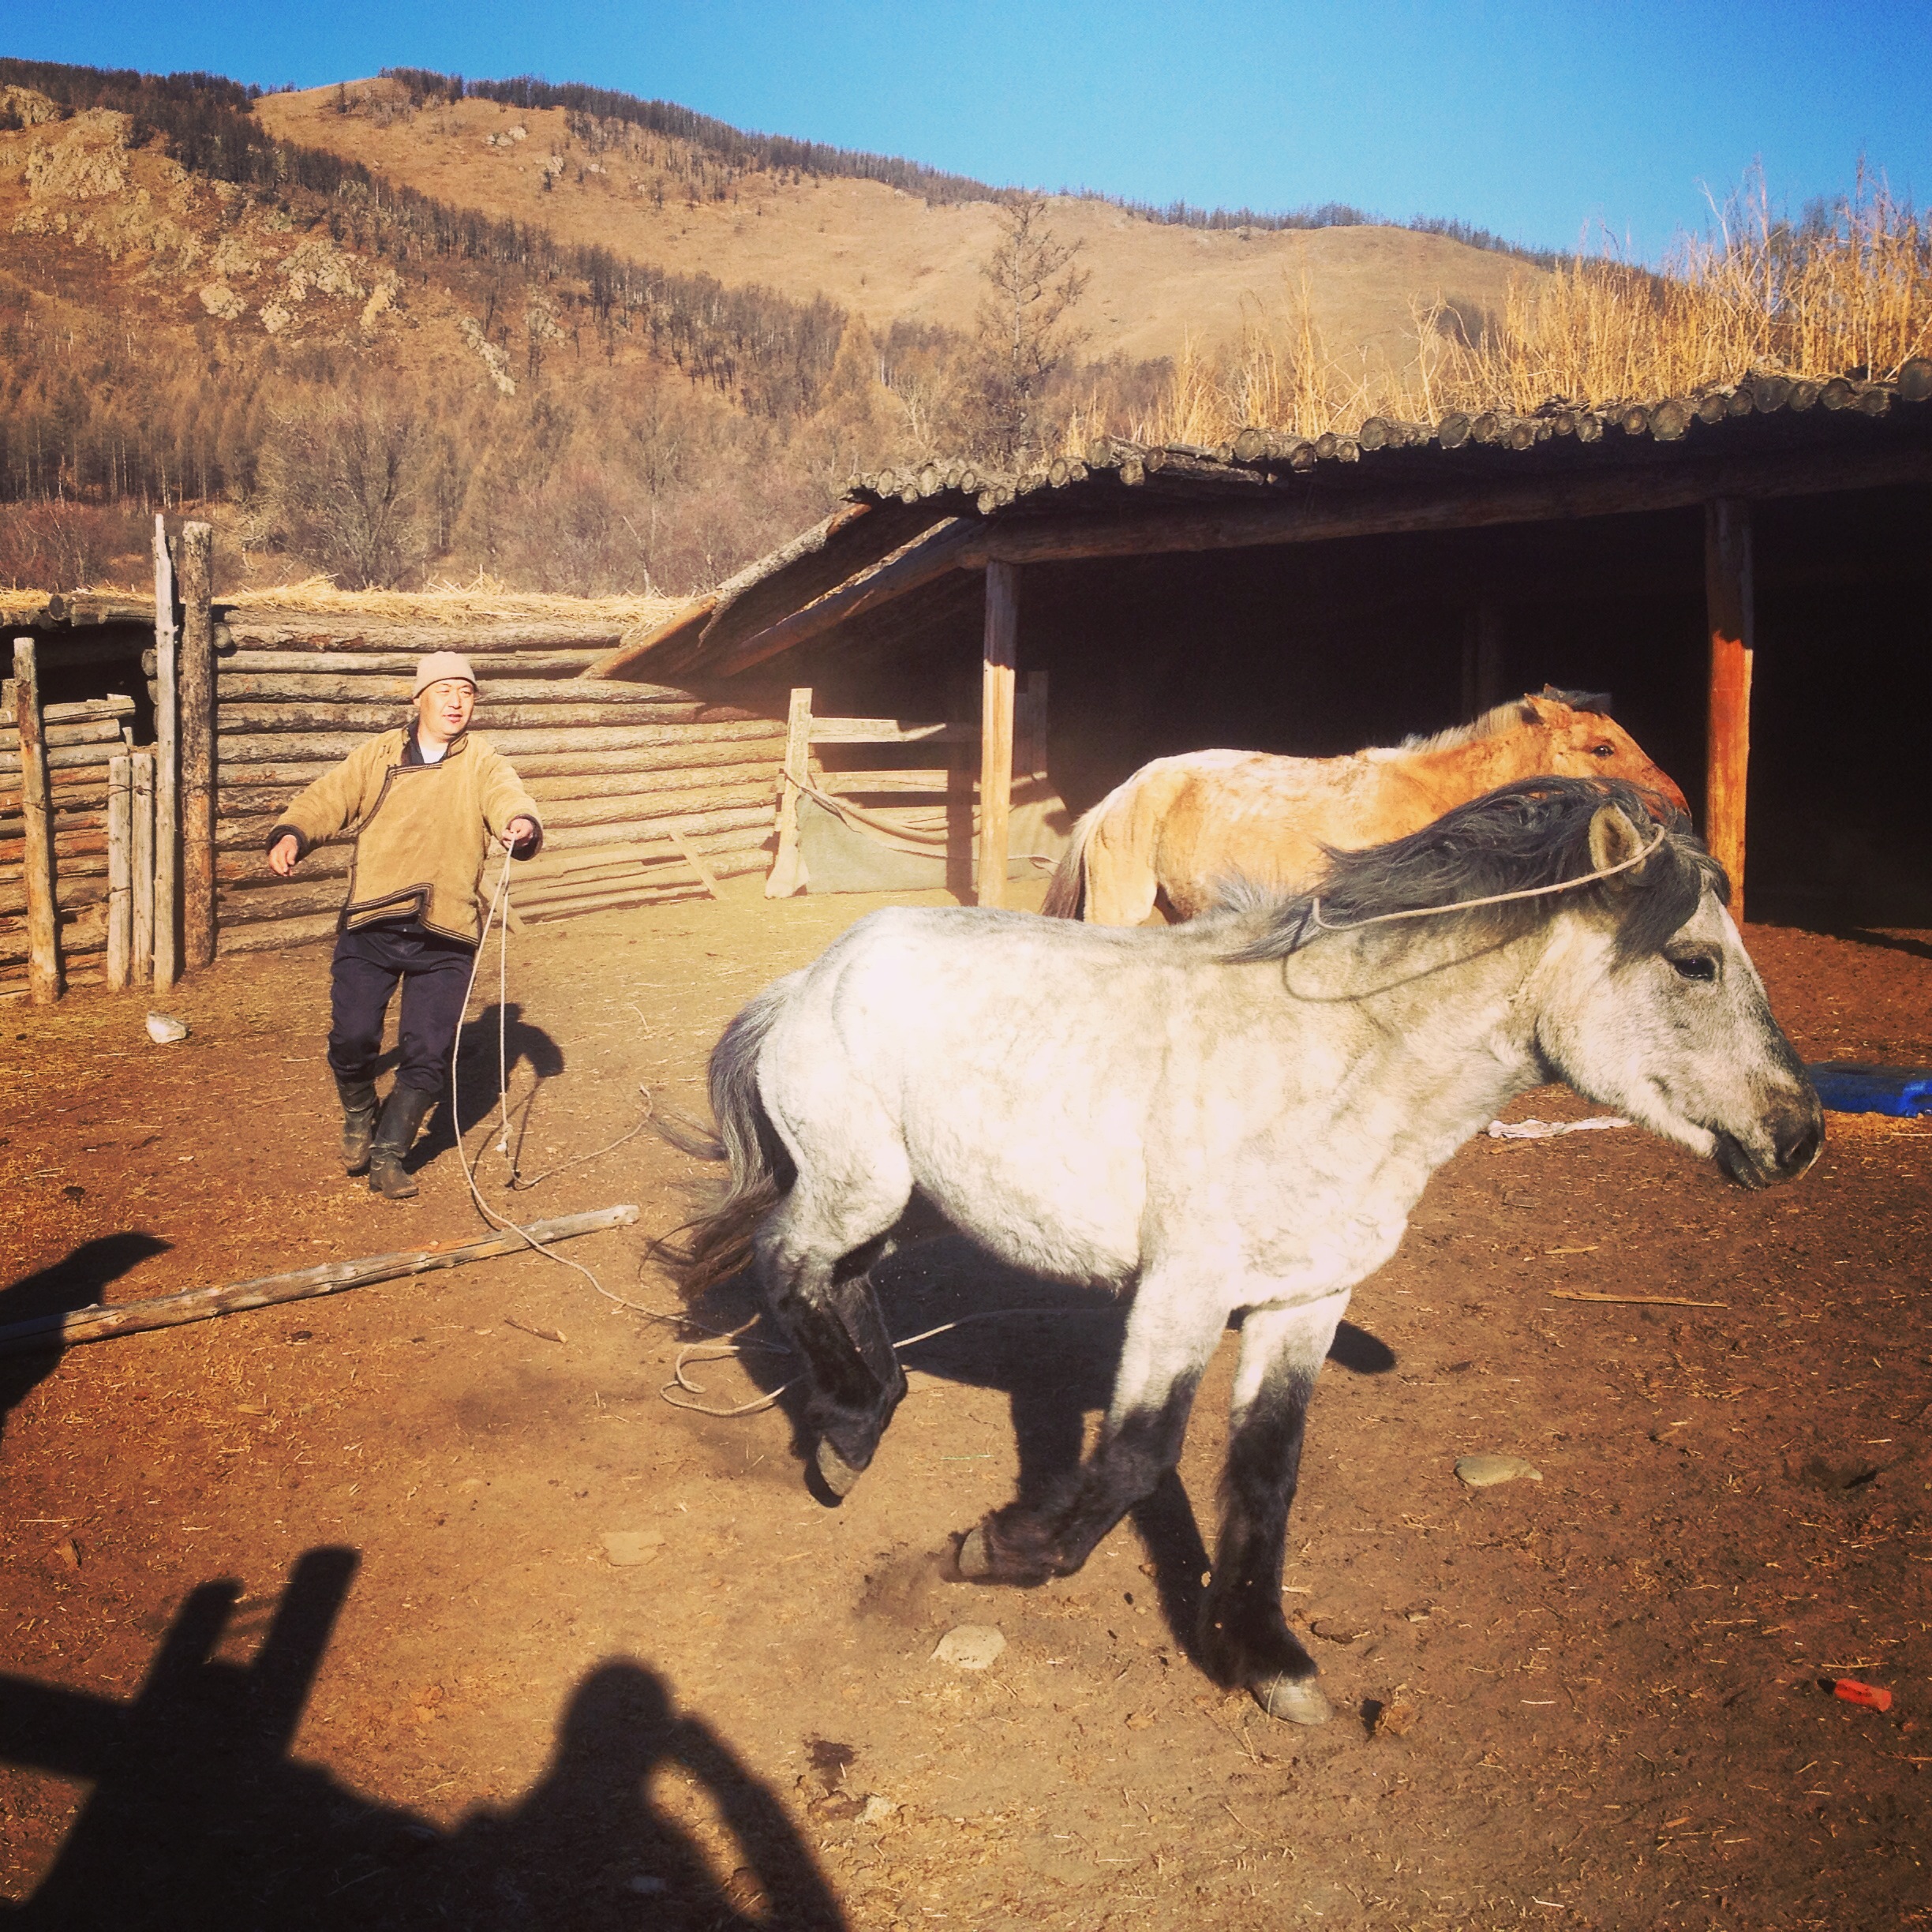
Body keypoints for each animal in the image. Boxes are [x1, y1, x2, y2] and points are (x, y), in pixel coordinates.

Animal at [671, 777, 1821, 1725]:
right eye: (1693, 961)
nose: (1800, 1136)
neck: (1331, 1066)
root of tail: (812, 974)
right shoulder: (1184, 1287)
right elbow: (1139, 1454)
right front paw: (999, 1550)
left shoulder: (1302, 1298)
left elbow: (1268, 1472)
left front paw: (1269, 1659)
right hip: (858, 1181)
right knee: (785, 1260)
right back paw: (848, 1433)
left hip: (911, 1198)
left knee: (840, 1273)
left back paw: (861, 1419)